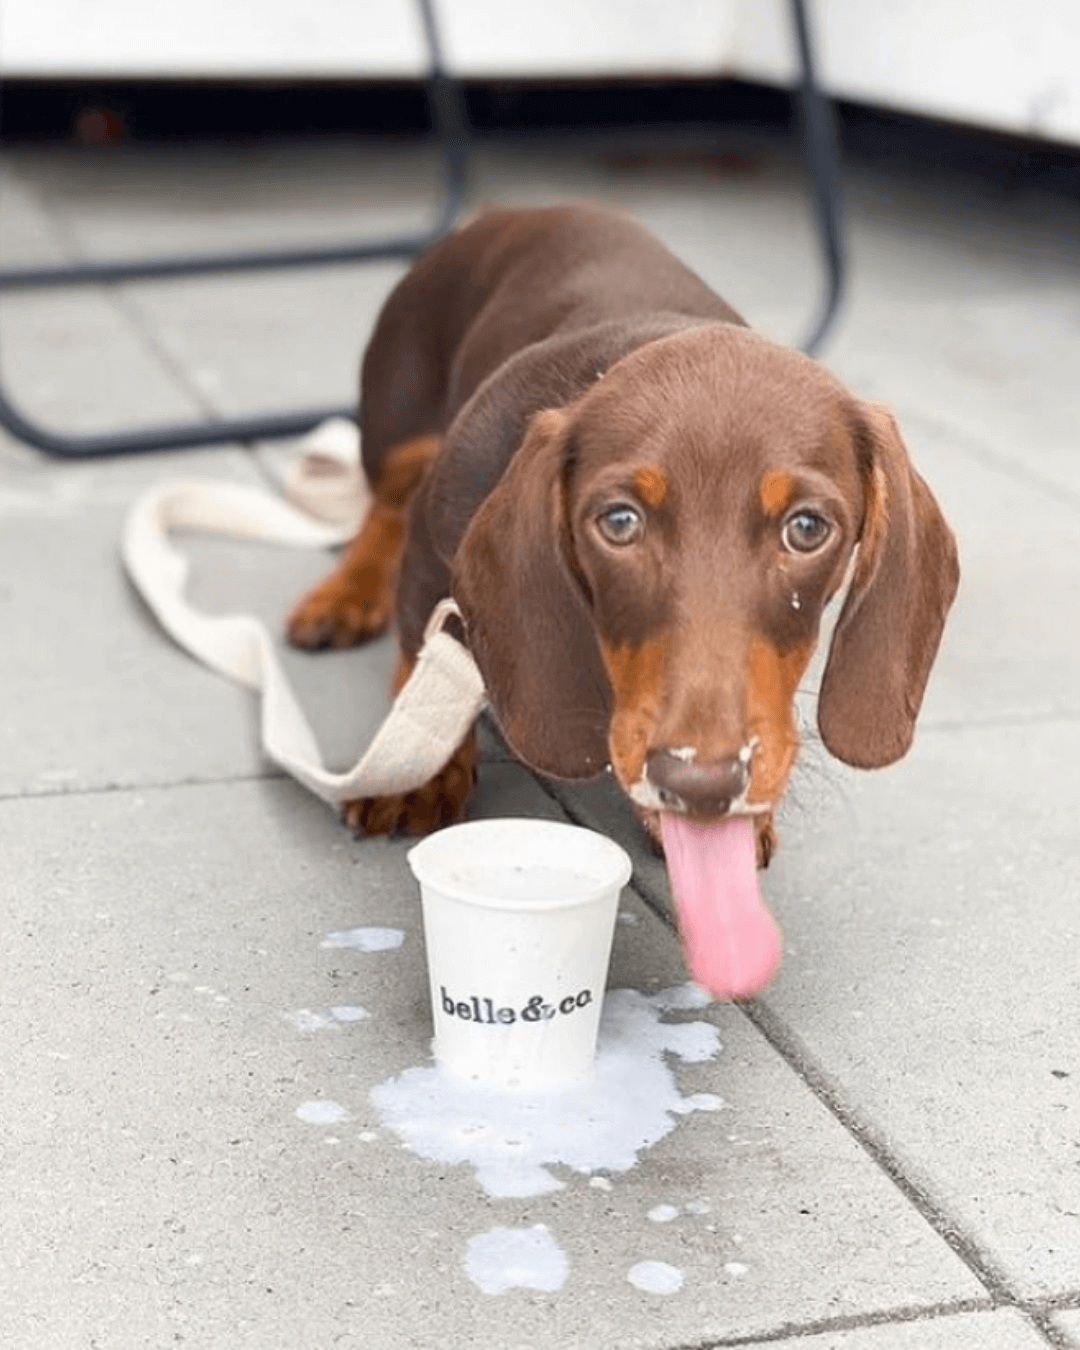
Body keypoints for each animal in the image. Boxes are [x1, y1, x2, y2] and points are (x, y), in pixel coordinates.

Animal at [286, 202, 961, 1004]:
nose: (702, 784)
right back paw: (343, 596)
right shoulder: (435, 553)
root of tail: (503, 212)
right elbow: (424, 653)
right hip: (398, 429)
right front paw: (421, 770)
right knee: (381, 510)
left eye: (807, 528)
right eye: (618, 522)